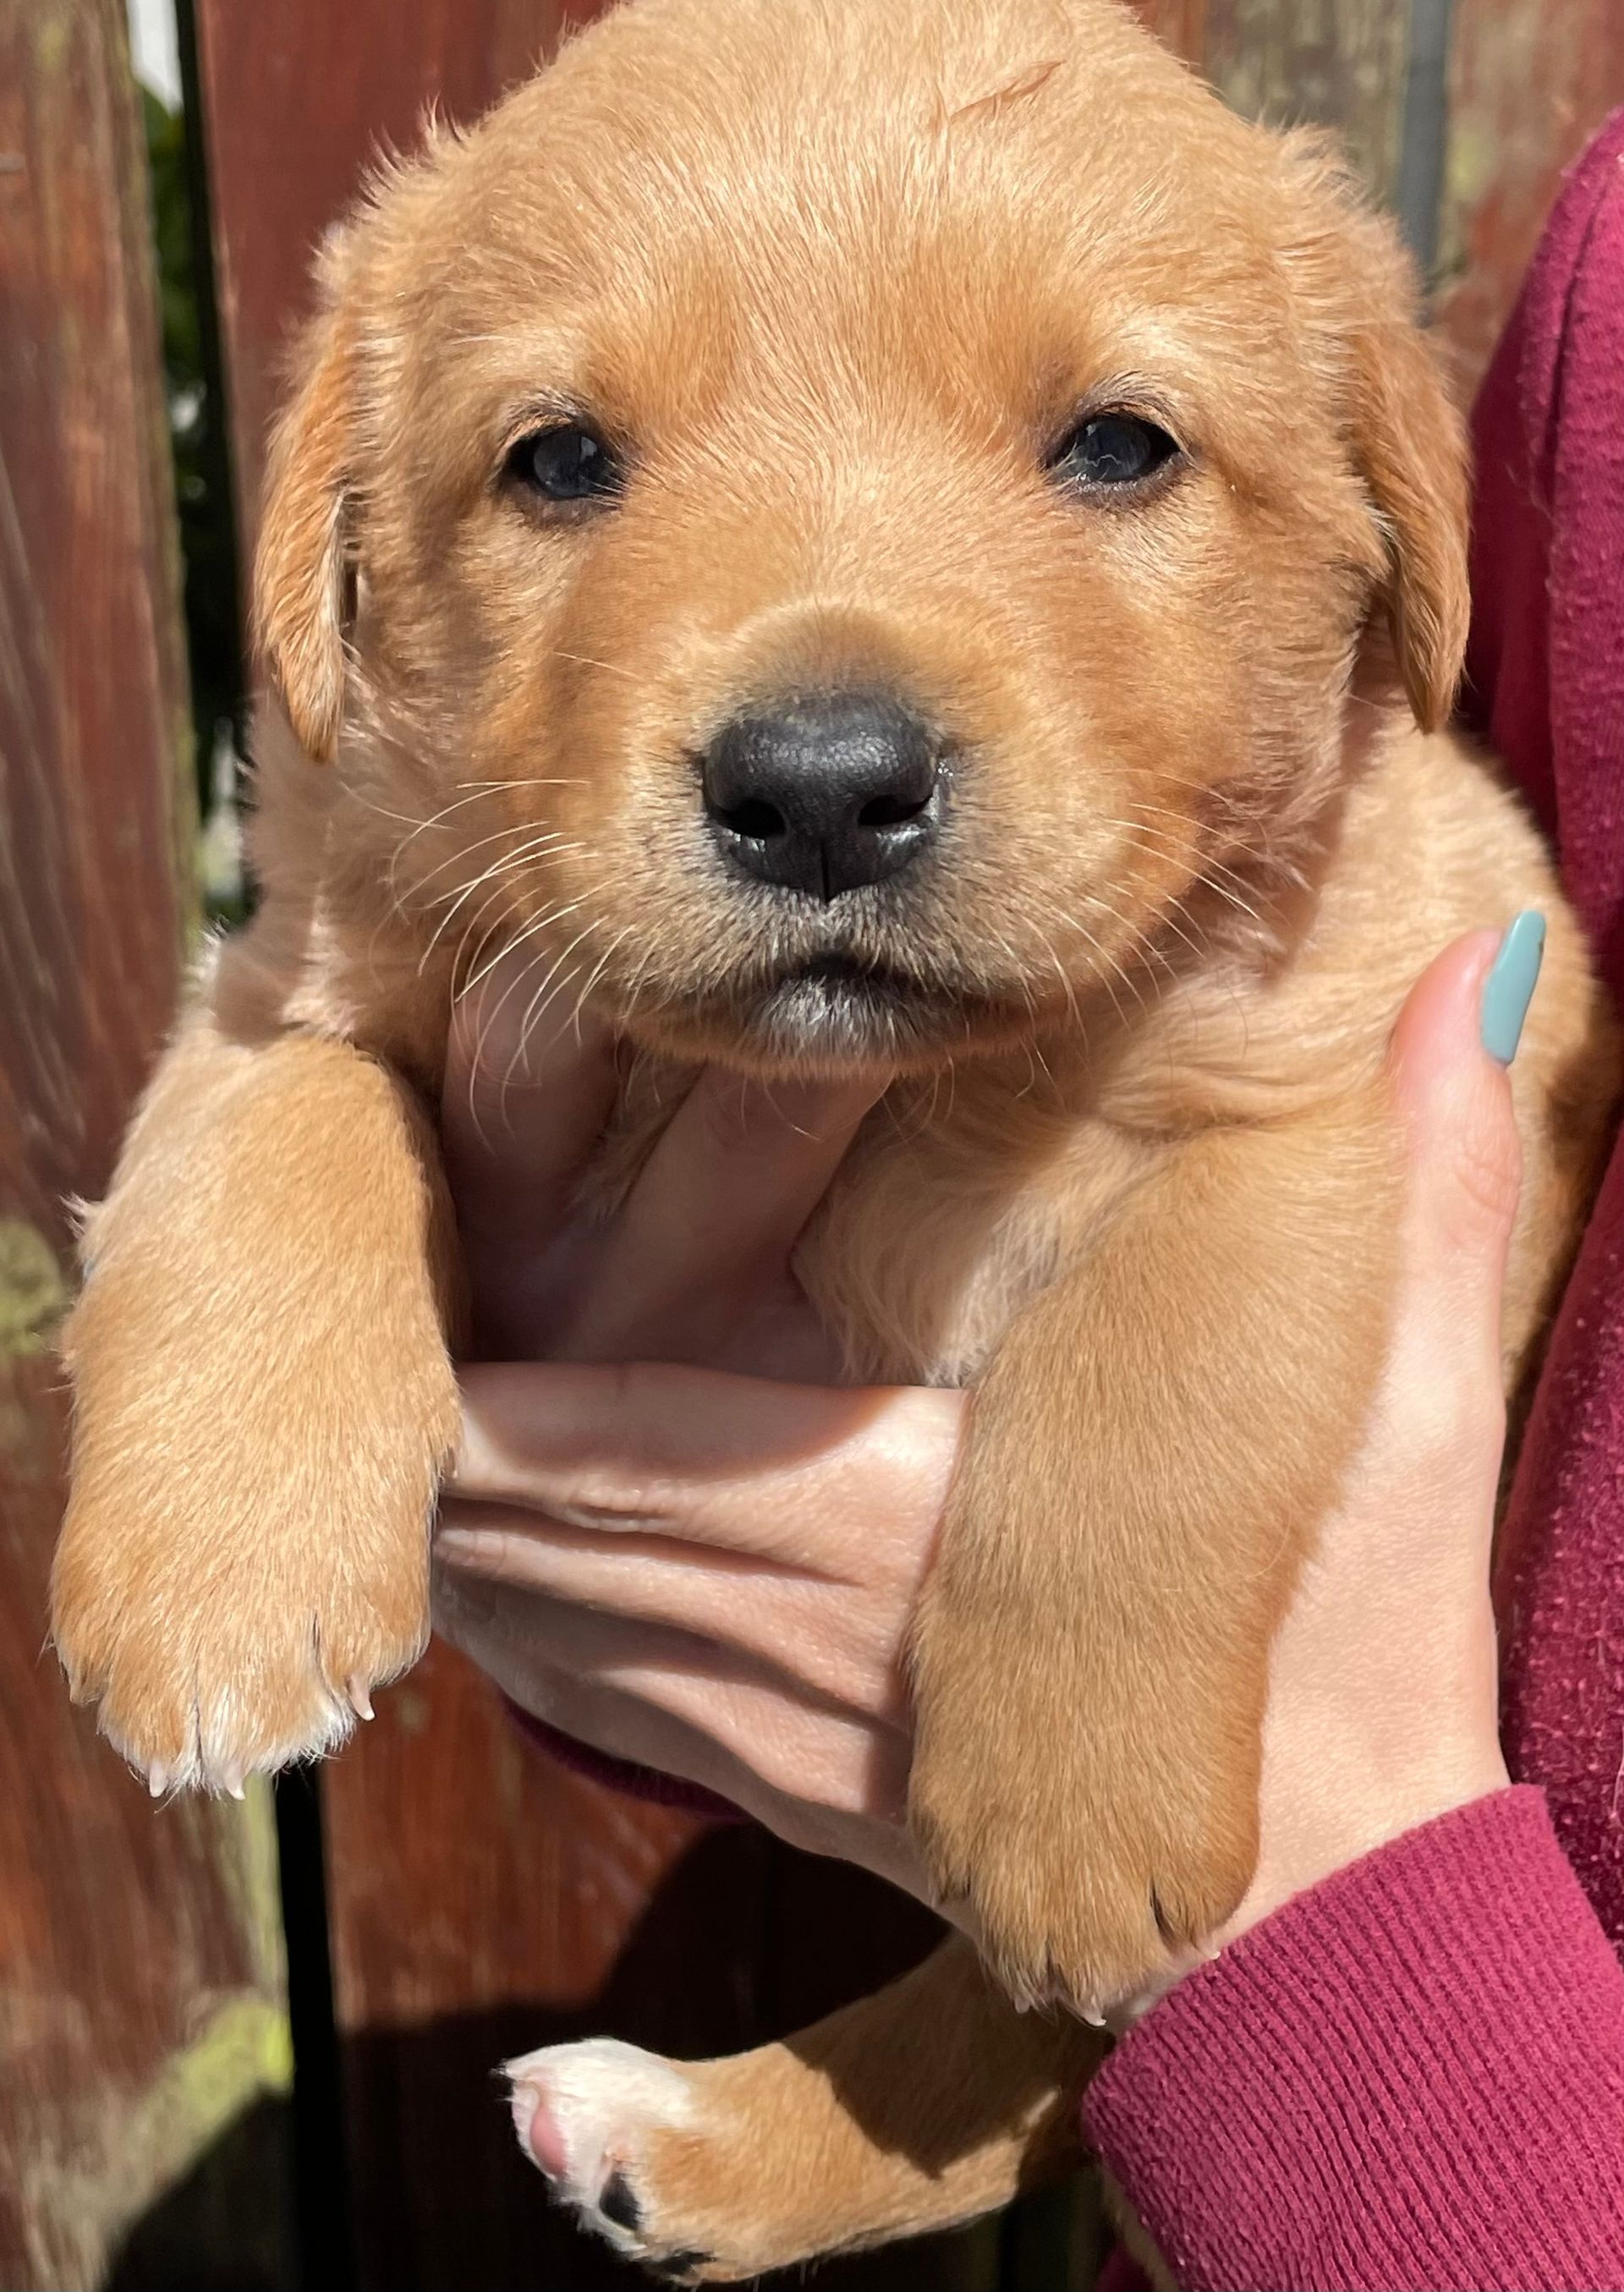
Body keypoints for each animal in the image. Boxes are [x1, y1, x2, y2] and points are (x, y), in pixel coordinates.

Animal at [47, 0, 1615, 2283]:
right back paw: (677, 2146)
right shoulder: (292, 966)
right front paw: (213, 1579)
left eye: (1120, 447)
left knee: (1029, 2048)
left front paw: (1074, 1802)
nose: (815, 786)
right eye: (558, 461)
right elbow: (273, 1141)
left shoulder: (1341, 1081)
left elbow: (1148, 1391)